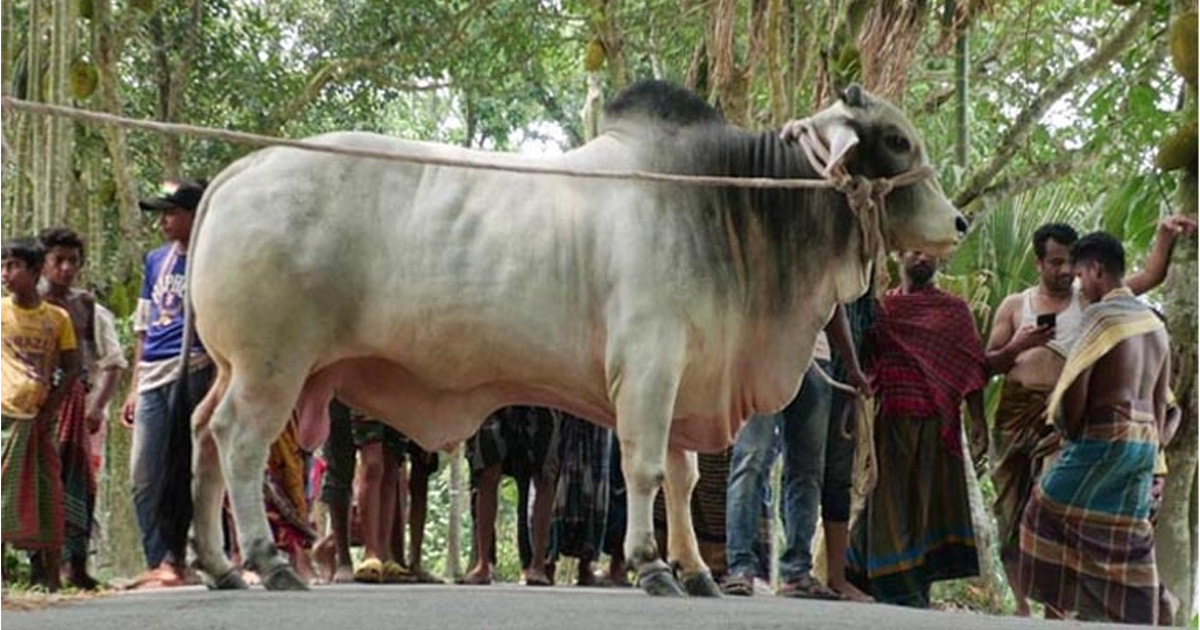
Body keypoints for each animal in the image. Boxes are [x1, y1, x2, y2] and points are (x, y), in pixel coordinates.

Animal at [187, 81, 964, 592]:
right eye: (898, 140)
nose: (959, 223)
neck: (730, 204)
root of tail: (240, 169)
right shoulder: (649, 364)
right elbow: (646, 470)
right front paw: (652, 566)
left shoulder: (686, 375)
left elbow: (682, 478)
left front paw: (694, 570)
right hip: (271, 367)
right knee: (240, 442)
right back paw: (267, 561)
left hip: (235, 368)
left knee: (201, 433)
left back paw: (219, 565)